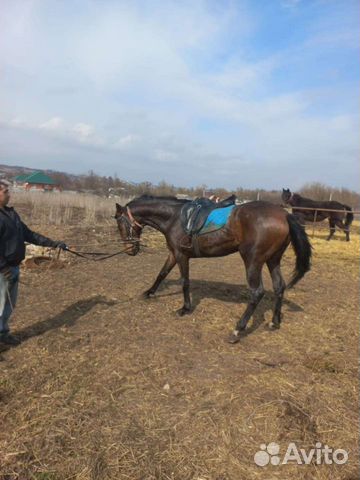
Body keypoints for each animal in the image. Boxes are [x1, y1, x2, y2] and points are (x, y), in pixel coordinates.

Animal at [114, 195, 310, 342]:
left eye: (119, 223)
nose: (130, 250)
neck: (174, 218)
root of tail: (284, 215)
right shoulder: (173, 253)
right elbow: (162, 273)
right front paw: (149, 292)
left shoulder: (181, 255)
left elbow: (185, 282)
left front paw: (185, 308)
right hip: (273, 259)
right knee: (279, 286)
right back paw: (274, 322)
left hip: (253, 260)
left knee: (257, 293)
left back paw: (237, 330)